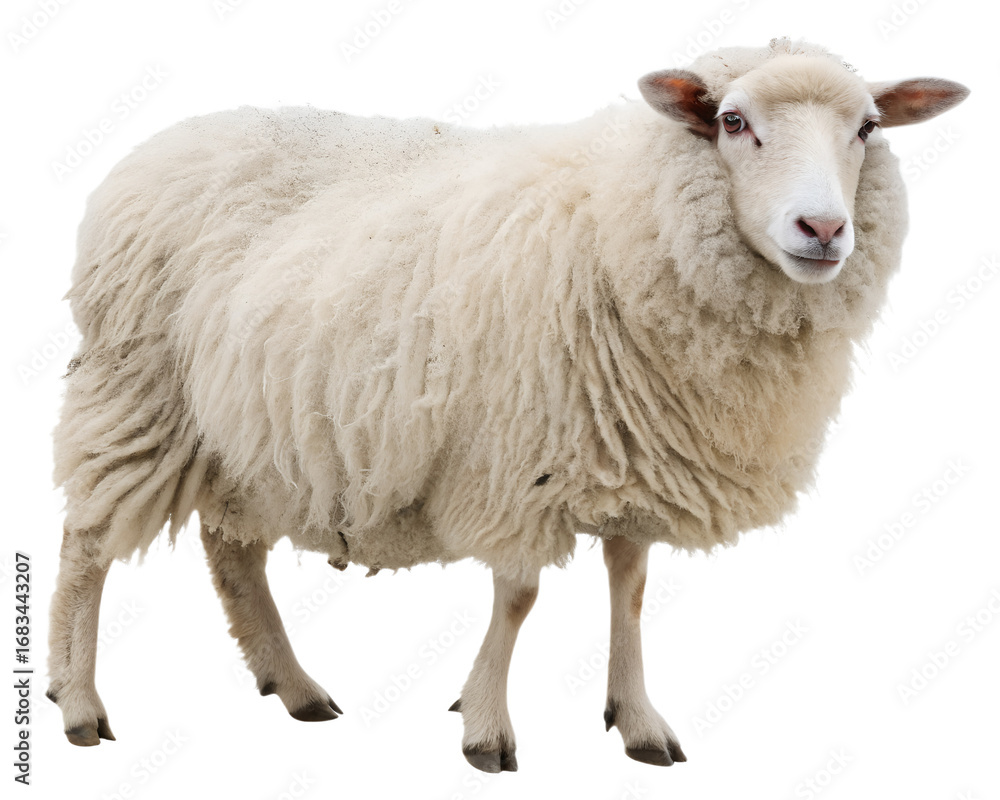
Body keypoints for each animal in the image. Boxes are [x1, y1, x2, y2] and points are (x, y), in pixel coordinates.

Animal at [47, 37, 968, 771]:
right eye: (734, 122)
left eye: (868, 129)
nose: (824, 230)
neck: (620, 218)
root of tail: (156, 147)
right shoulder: (515, 457)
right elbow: (519, 596)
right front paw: (486, 728)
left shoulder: (638, 454)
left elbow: (631, 588)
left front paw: (637, 720)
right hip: (137, 393)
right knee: (88, 544)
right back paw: (78, 702)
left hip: (245, 432)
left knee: (231, 550)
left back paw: (295, 684)